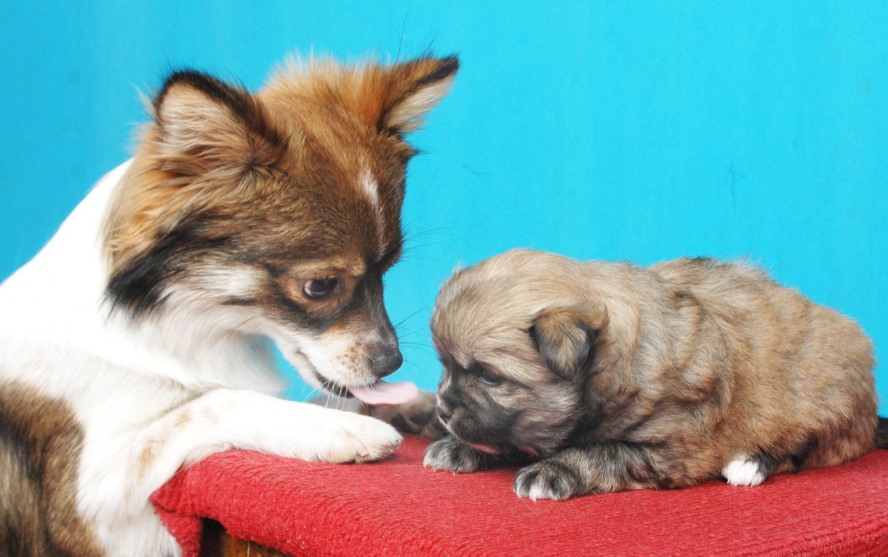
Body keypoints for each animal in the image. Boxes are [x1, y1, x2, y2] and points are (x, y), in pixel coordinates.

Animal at [0, 51, 458, 552]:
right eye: (319, 286)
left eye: (387, 270)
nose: (392, 363)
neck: (187, 329)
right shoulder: (95, 508)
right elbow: (215, 402)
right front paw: (339, 428)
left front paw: (411, 404)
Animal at [424, 249, 888, 500]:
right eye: (445, 366)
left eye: (488, 376)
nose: (443, 410)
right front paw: (459, 447)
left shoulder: (667, 447)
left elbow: (601, 451)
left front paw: (552, 470)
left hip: (818, 400)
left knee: (801, 449)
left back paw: (751, 462)